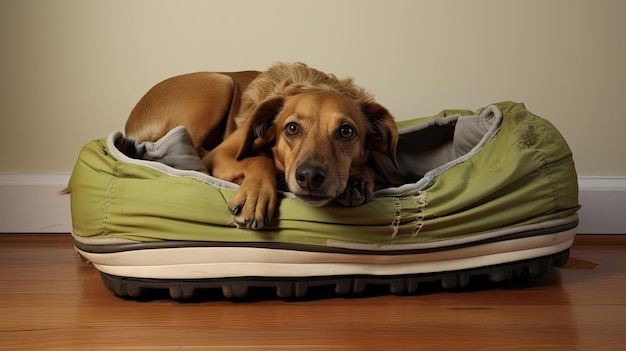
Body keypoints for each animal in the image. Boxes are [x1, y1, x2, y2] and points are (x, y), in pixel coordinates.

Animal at [125, 61, 398, 231]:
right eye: (291, 128)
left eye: (346, 131)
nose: (310, 177)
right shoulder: (222, 154)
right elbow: (260, 159)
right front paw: (255, 196)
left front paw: (358, 179)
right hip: (219, 84)